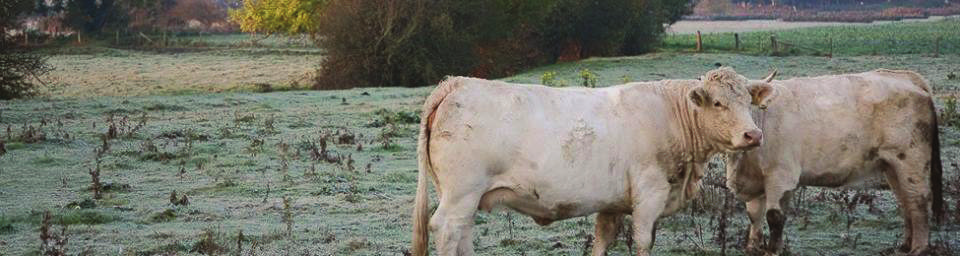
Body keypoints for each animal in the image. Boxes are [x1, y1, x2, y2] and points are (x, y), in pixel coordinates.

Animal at [408, 67, 776, 255]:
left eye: (747, 100)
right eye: (717, 103)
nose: (753, 135)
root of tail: (456, 83)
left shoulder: (611, 203)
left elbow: (603, 240)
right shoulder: (649, 195)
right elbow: (643, 241)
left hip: (467, 197)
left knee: (462, 232)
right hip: (462, 192)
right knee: (446, 229)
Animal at [728, 69, 944, 255]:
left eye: (747, 102)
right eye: (719, 103)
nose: (750, 134)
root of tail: (907, 77)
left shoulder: (781, 177)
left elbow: (774, 217)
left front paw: (772, 251)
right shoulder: (755, 179)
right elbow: (754, 216)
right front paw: (752, 248)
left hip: (912, 160)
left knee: (918, 200)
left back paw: (918, 249)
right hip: (892, 167)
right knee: (905, 201)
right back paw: (904, 246)